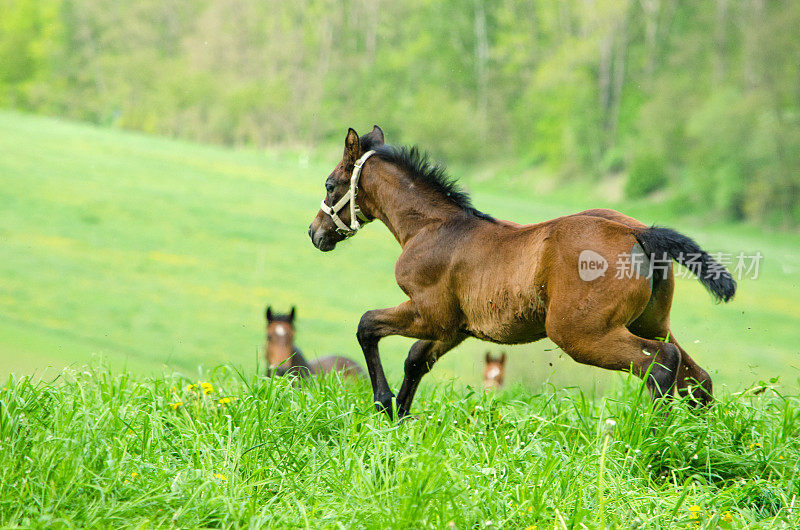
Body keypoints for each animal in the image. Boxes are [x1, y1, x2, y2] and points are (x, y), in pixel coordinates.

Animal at [306, 125, 736, 416]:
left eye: (330, 184)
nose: (315, 232)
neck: (431, 227)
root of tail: (637, 232)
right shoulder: (454, 327)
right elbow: (415, 360)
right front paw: (400, 416)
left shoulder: (430, 313)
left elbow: (367, 325)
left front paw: (383, 402)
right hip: (650, 322)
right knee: (697, 377)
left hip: (579, 332)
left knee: (659, 365)